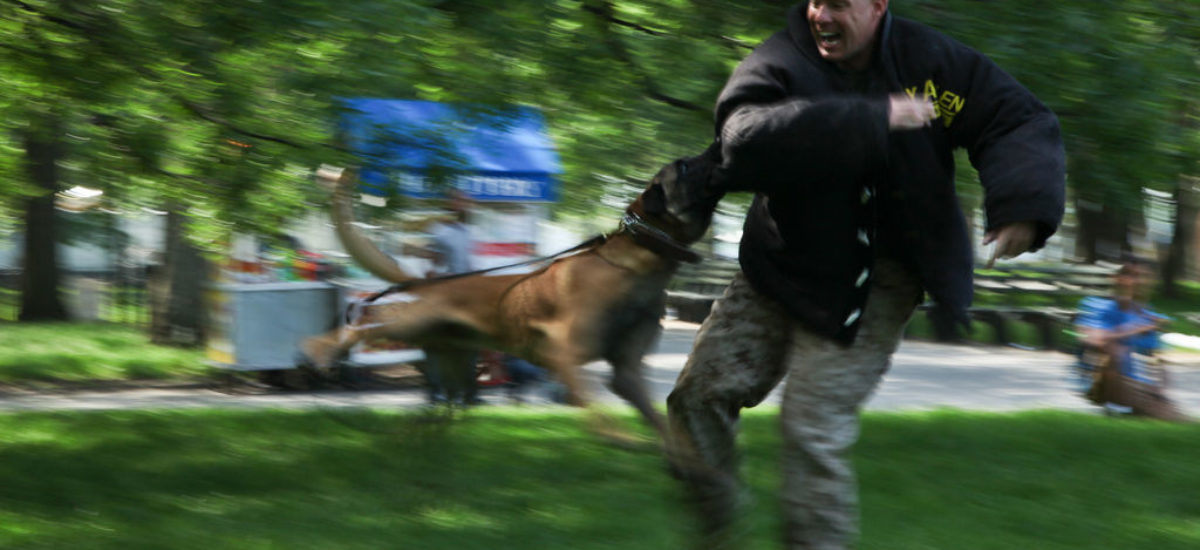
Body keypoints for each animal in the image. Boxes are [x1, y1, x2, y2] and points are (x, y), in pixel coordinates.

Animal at [304, 147, 724, 441]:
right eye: (683, 167)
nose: (717, 146)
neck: (639, 261)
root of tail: (434, 280)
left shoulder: (627, 369)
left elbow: (657, 421)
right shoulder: (565, 352)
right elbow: (594, 409)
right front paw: (619, 437)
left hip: (450, 351)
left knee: (446, 400)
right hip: (413, 320)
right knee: (367, 318)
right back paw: (319, 350)